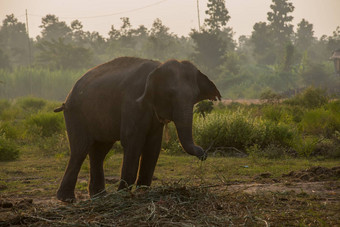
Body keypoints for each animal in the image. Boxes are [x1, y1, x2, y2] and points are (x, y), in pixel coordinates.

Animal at [54, 56, 222, 202]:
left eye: (195, 96)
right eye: (170, 94)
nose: (203, 154)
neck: (157, 68)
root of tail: (68, 96)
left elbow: (153, 145)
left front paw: (143, 192)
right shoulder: (133, 103)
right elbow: (132, 142)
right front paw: (123, 194)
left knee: (99, 151)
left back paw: (99, 196)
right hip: (76, 114)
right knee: (80, 150)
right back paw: (67, 199)